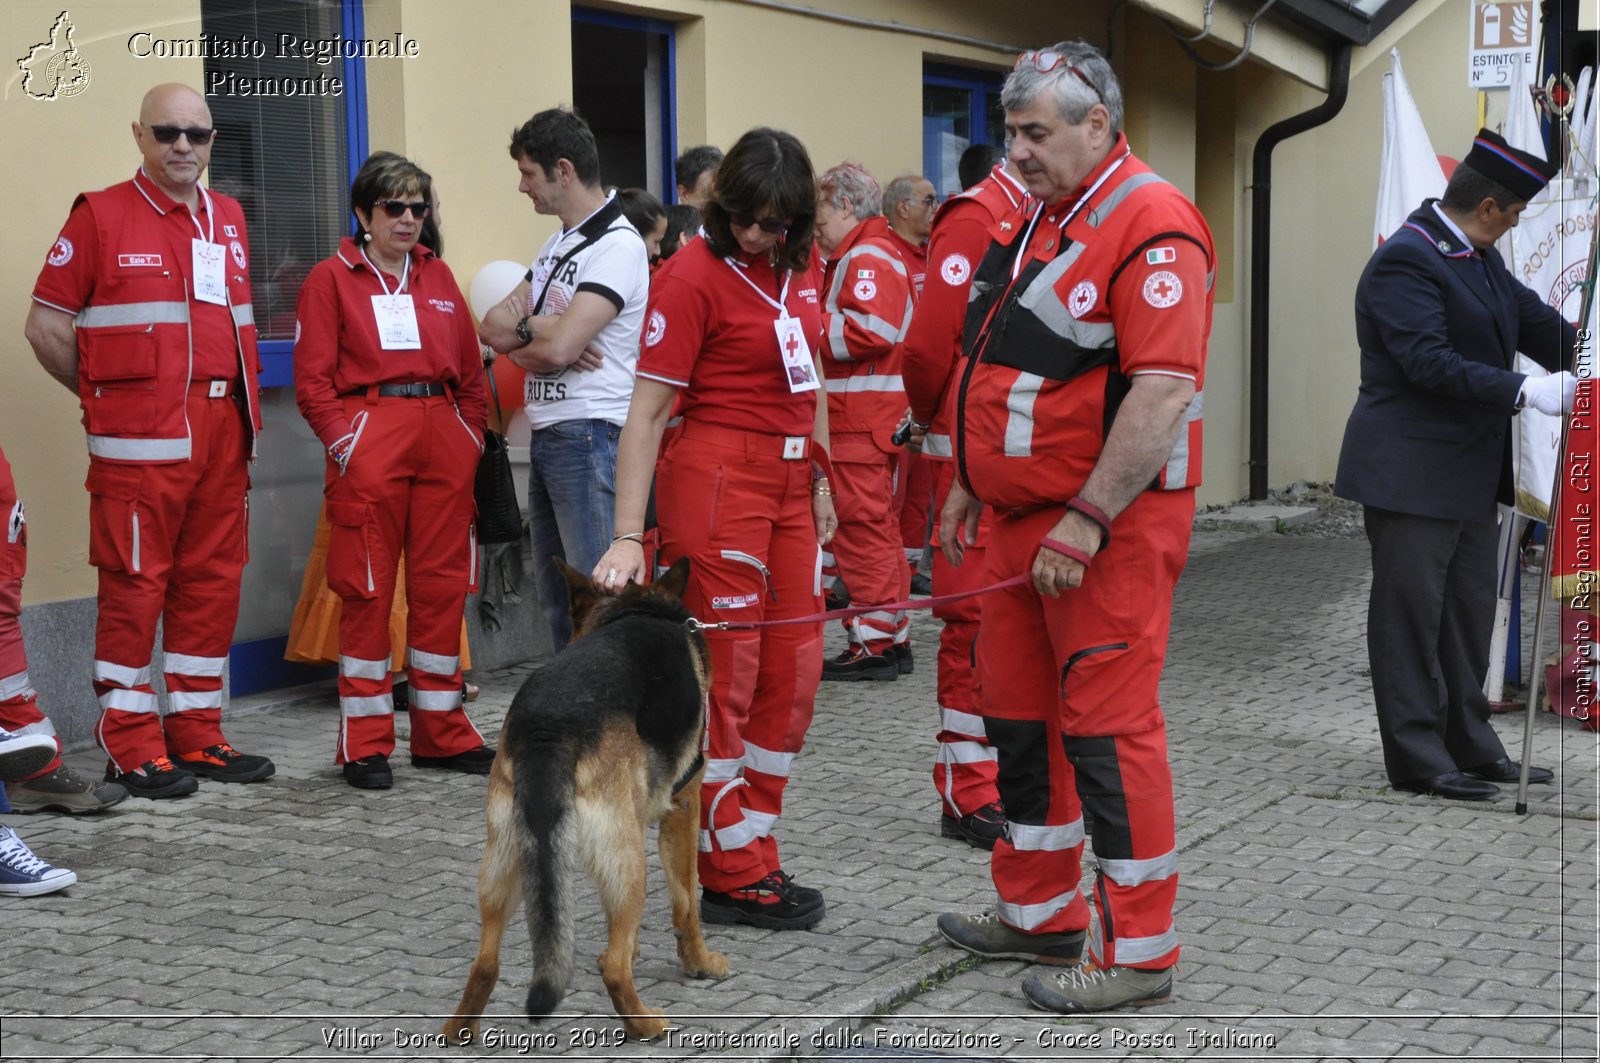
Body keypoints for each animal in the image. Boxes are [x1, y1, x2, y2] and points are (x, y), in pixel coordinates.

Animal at [444, 560, 732, 1043]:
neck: (635, 607)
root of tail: (551, 725)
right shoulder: (683, 809)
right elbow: (686, 902)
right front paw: (699, 963)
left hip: (505, 865)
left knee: (485, 963)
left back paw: (457, 1029)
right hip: (629, 865)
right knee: (614, 970)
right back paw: (644, 1022)